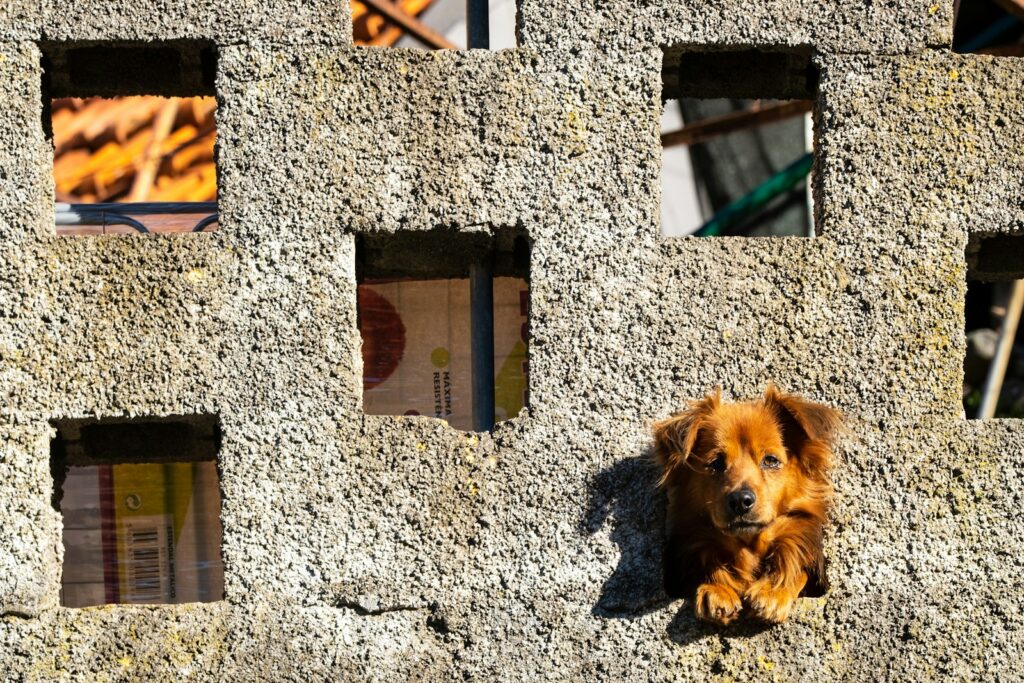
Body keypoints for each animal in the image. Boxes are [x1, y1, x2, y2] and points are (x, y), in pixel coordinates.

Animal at [655, 385, 839, 626]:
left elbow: (797, 569)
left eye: (770, 460)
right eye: (715, 463)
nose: (740, 501)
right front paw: (717, 588)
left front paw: (774, 590)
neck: (749, 548)